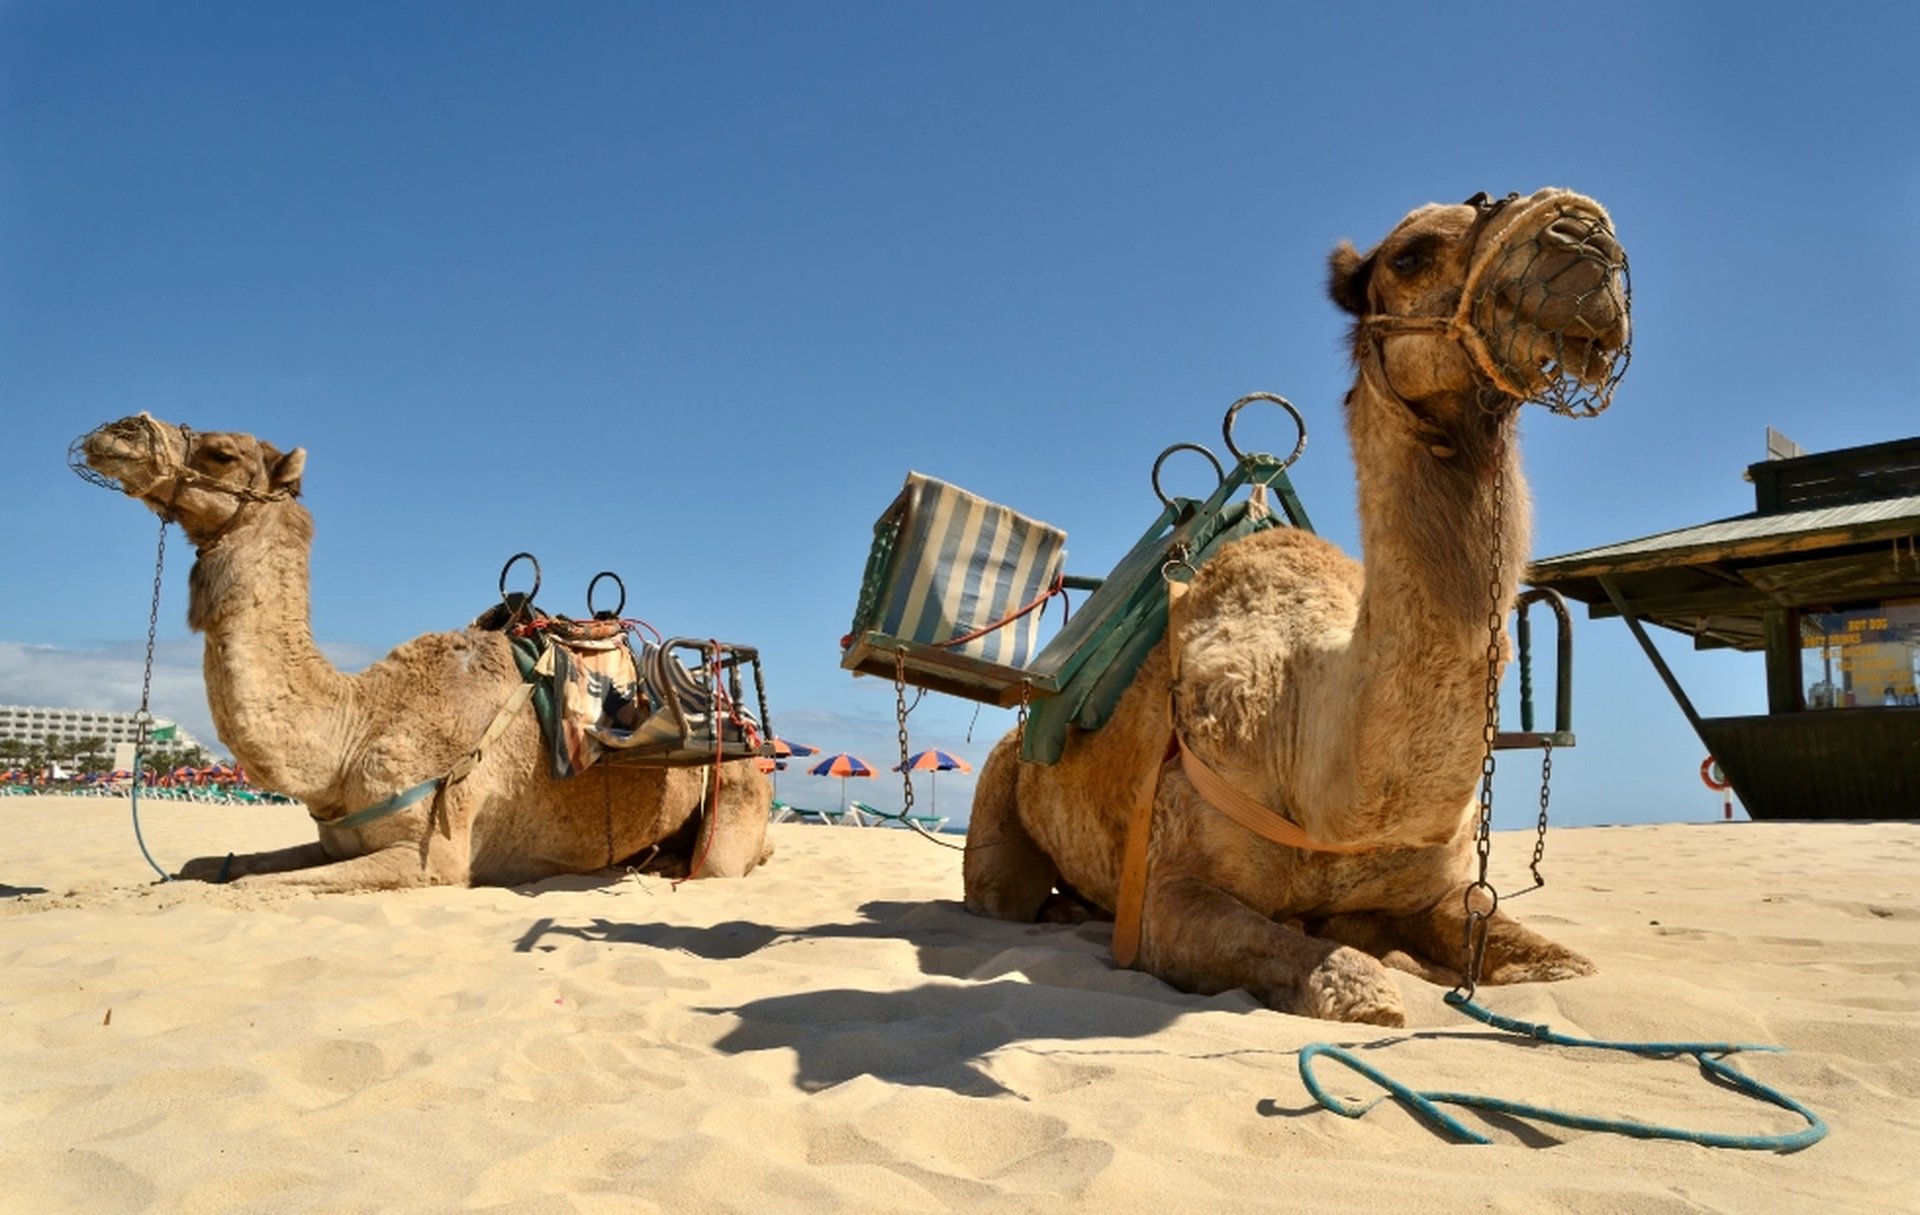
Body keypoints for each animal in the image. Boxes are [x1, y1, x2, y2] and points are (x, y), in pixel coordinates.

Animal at [80, 415, 773, 892]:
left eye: (222, 453)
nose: (119, 431)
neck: (355, 726)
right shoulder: (335, 843)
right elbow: (209, 869)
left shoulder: (432, 857)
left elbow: (242, 886)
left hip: (735, 793)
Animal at [962, 189, 1631, 1026]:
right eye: (1410, 254)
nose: (1585, 242)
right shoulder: (1165, 892)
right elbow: (1360, 988)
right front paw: (1371, 972)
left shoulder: (1444, 892)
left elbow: (1568, 967)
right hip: (997, 807)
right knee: (1002, 893)